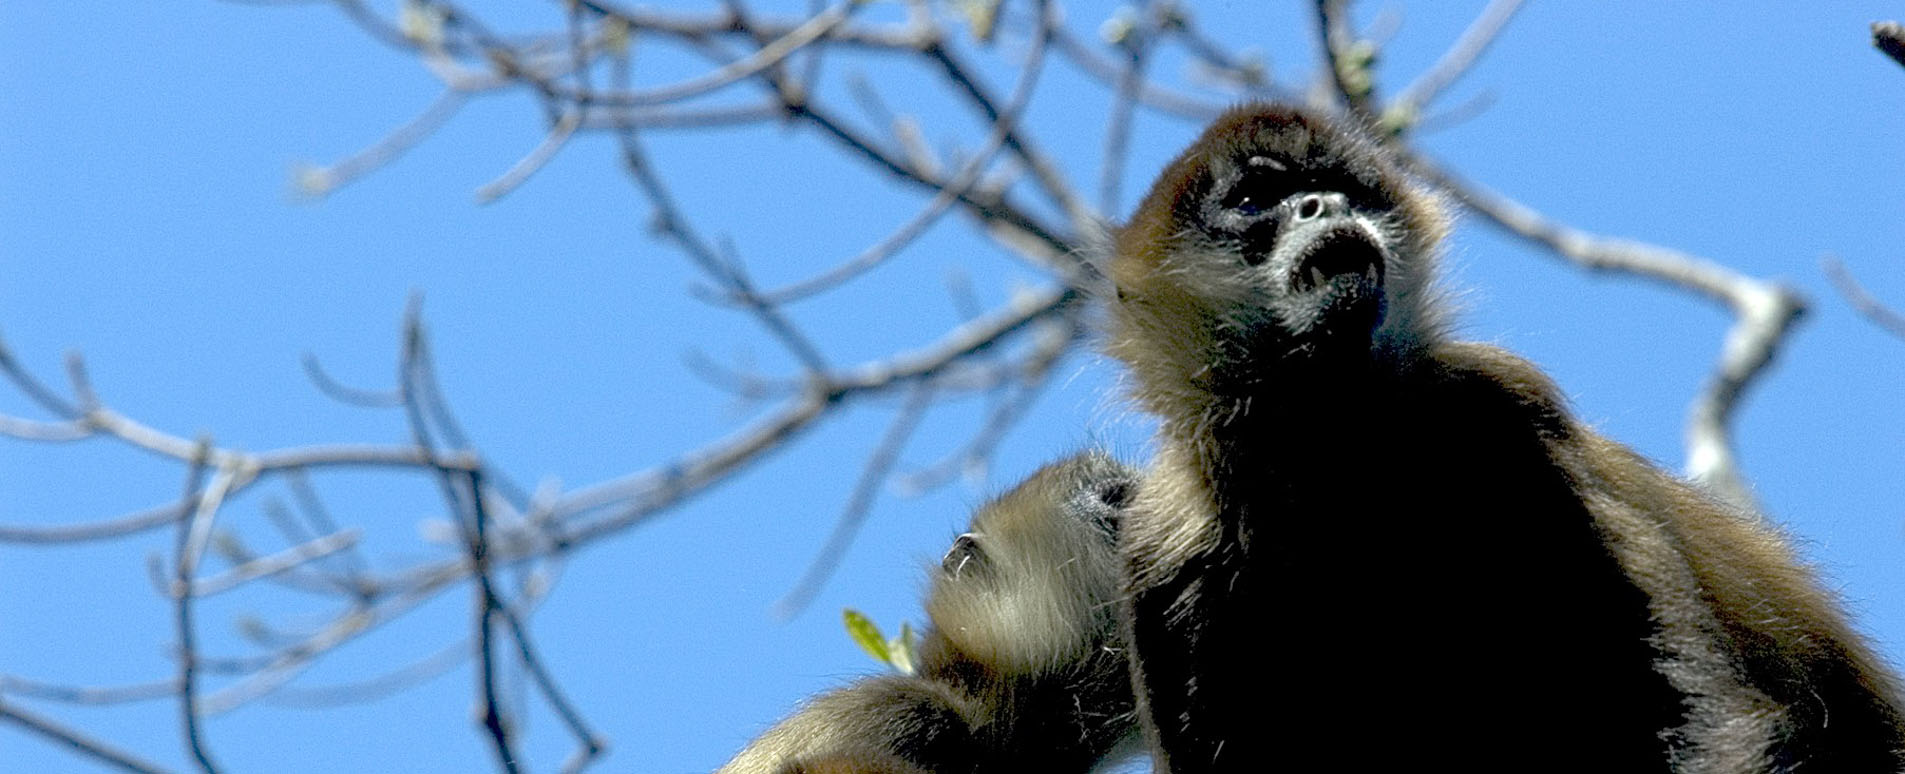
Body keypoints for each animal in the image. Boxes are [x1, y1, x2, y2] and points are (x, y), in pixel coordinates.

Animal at [1104, 101, 1905, 766]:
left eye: (1340, 188)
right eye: (1254, 201)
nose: (1320, 204)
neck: (1335, 444)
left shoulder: (1501, 406)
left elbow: (1709, 721)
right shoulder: (1166, 545)